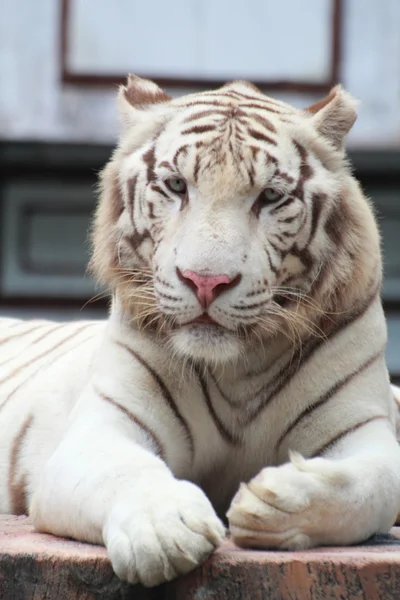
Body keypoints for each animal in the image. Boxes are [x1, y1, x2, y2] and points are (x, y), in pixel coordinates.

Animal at [0, 74, 400, 584]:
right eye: (176, 186)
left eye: (270, 196)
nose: (206, 281)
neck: (237, 369)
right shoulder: (103, 427)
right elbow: (125, 472)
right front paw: (165, 530)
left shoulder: (364, 429)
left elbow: (374, 484)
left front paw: (273, 503)